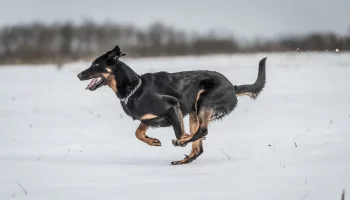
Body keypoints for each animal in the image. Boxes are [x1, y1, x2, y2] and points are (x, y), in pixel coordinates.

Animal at [77, 46, 268, 165]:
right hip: (194, 111)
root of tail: (232, 87)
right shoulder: (148, 119)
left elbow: (179, 132)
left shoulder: (172, 107)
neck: (134, 88)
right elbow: (137, 133)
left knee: (202, 131)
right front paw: (152, 141)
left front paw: (181, 139)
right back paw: (183, 160)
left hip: (203, 101)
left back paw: (183, 142)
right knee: (198, 147)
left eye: (96, 64)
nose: (79, 75)